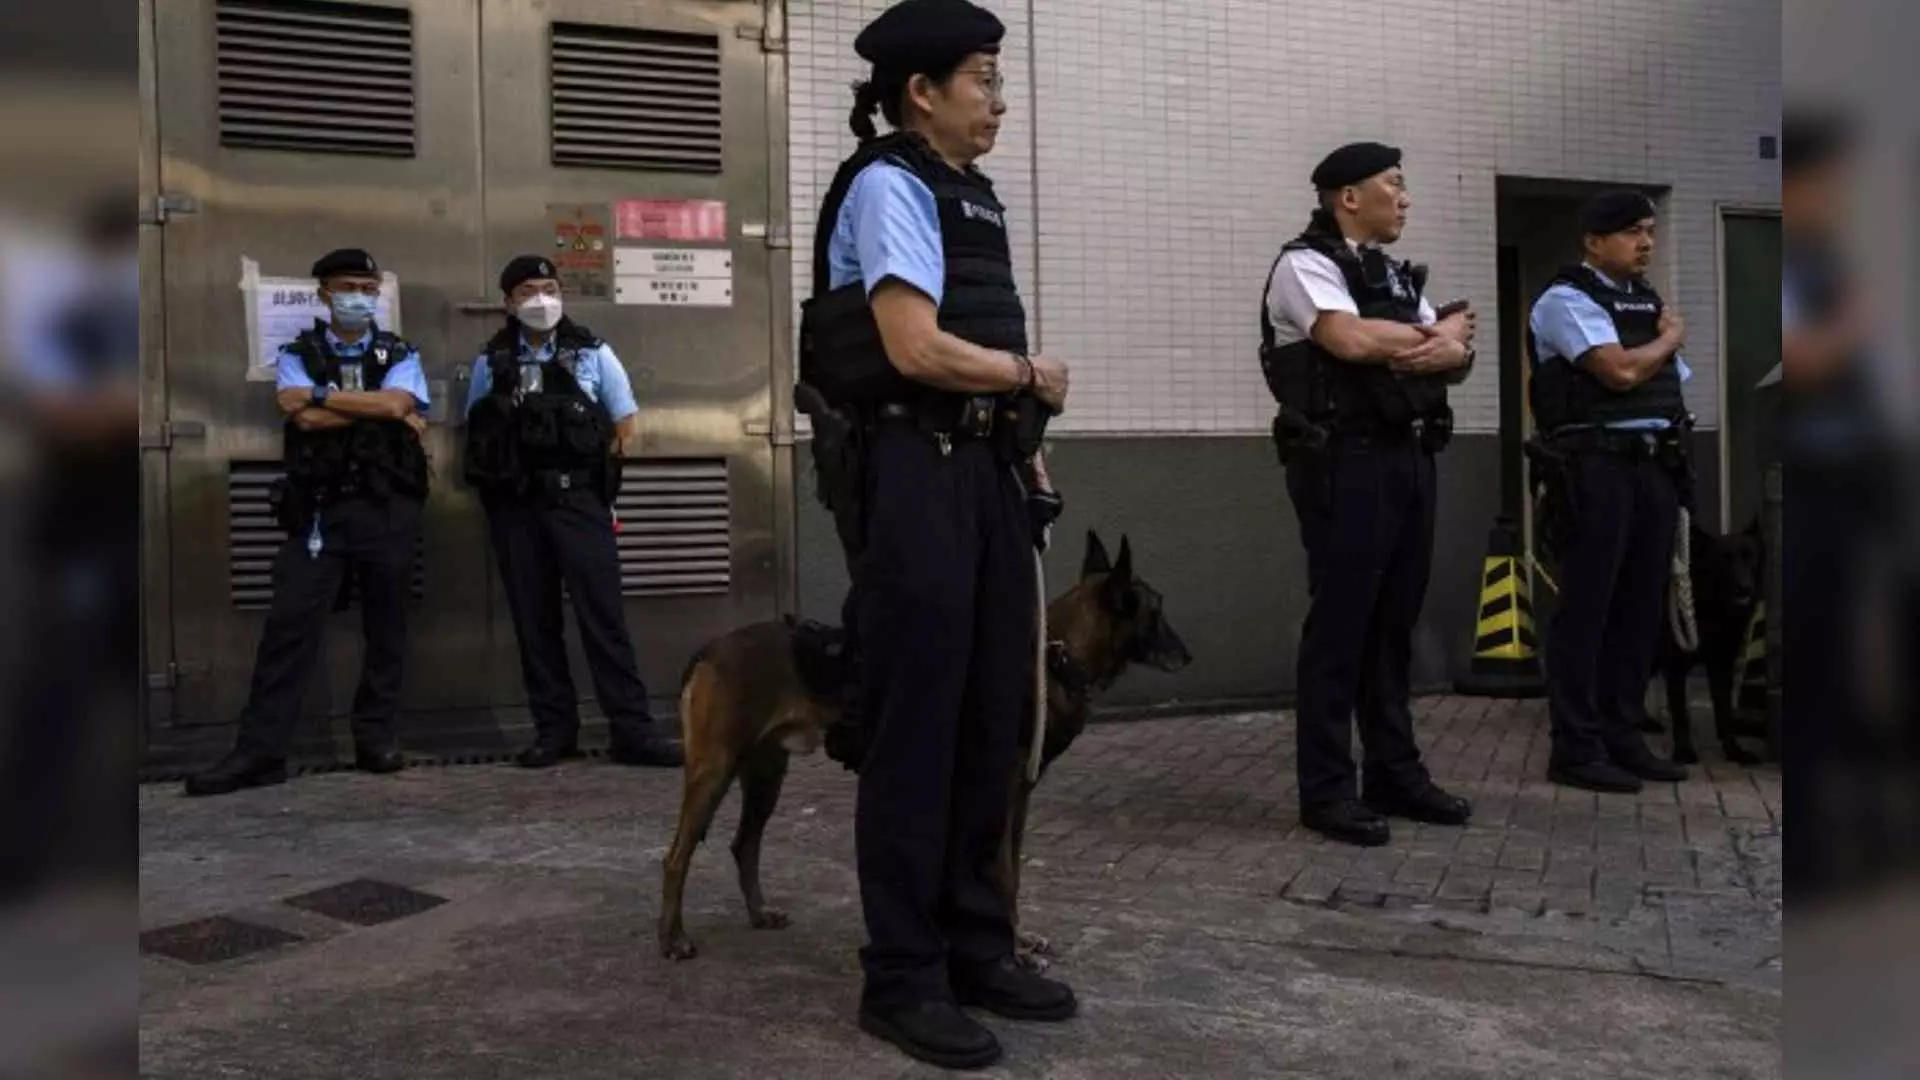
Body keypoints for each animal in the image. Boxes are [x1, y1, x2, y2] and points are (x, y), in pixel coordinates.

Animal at [657, 529, 1192, 963]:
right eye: (1157, 611)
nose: (1188, 656)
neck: (1052, 658)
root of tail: (709, 649)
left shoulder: (1014, 804)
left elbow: (1011, 875)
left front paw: (1013, 939)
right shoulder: (998, 802)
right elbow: (1003, 876)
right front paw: (1013, 952)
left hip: (766, 775)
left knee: (744, 844)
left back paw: (758, 912)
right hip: (714, 769)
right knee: (677, 855)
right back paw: (673, 938)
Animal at [1643, 516, 1766, 765]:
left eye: (1749, 556)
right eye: (1724, 559)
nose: (1744, 588)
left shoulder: (1722, 667)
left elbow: (1724, 714)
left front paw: (1734, 751)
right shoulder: (1675, 667)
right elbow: (1681, 714)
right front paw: (1683, 751)